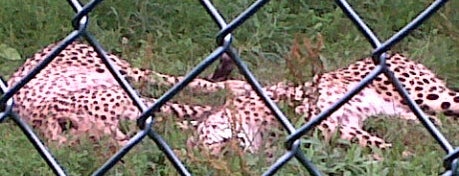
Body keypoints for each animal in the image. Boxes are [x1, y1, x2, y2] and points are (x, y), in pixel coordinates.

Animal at [2, 41, 229, 146]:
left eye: (94, 140)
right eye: (96, 146)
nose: (123, 145)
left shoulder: (139, 104)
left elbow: (195, 110)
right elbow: (181, 120)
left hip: (122, 71)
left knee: (166, 78)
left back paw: (233, 86)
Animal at [188, 53, 459, 155]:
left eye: (209, 142)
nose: (227, 152)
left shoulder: (332, 124)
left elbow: (383, 146)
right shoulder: (341, 129)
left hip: (430, 96)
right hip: (408, 114)